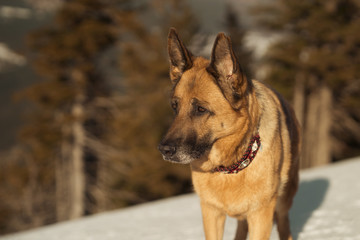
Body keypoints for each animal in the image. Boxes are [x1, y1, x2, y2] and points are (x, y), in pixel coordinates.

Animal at [158, 28, 300, 240]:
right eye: (175, 107)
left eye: (200, 109)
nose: (164, 150)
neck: (231, 165)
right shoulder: (211, 213)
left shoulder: (260, 215)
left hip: (283, 202)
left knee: (284, 223)